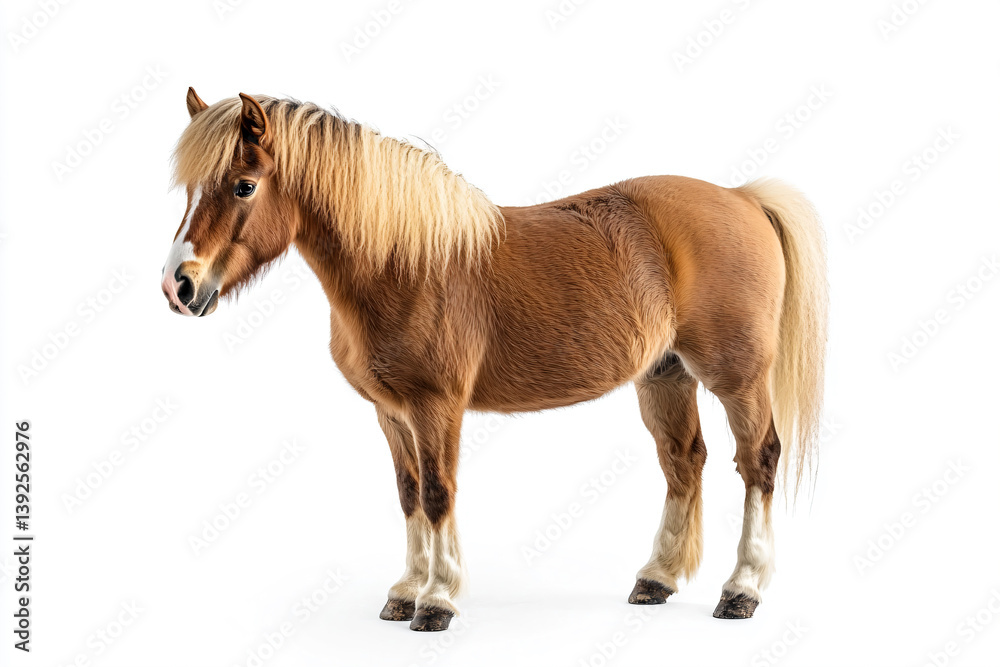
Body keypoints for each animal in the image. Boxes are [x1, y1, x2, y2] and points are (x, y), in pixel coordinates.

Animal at [161, 88, 828, 632]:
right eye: (190, 189)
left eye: (244, 185)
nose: (179, 286)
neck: (403, 264)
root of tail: (742, 198)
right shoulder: (391, 413)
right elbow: (408, 493)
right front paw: (404, 592)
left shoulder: (436, 407)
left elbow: (438, 493)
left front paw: (437, 601)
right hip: (664, 377)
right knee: (685, 462)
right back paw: (655, 580)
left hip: (737, 376)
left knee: (758, 460)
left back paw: (742, 590)